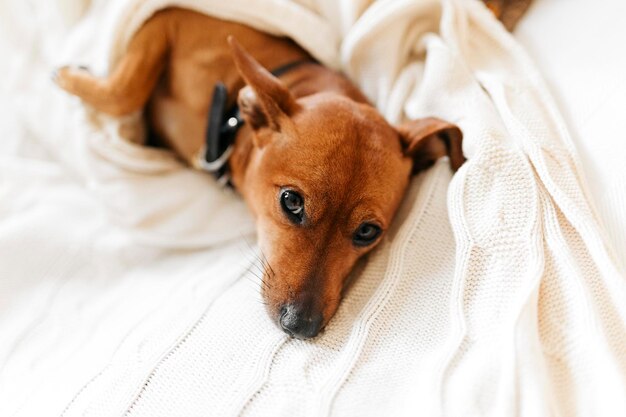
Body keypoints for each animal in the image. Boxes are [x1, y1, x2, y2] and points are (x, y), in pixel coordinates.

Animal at [53, 7, 464, 338]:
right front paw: (71, 77)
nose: (301, 326)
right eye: (291, 202)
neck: (230, 112)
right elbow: (125, 91)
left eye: (367, 232)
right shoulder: (165, 18)